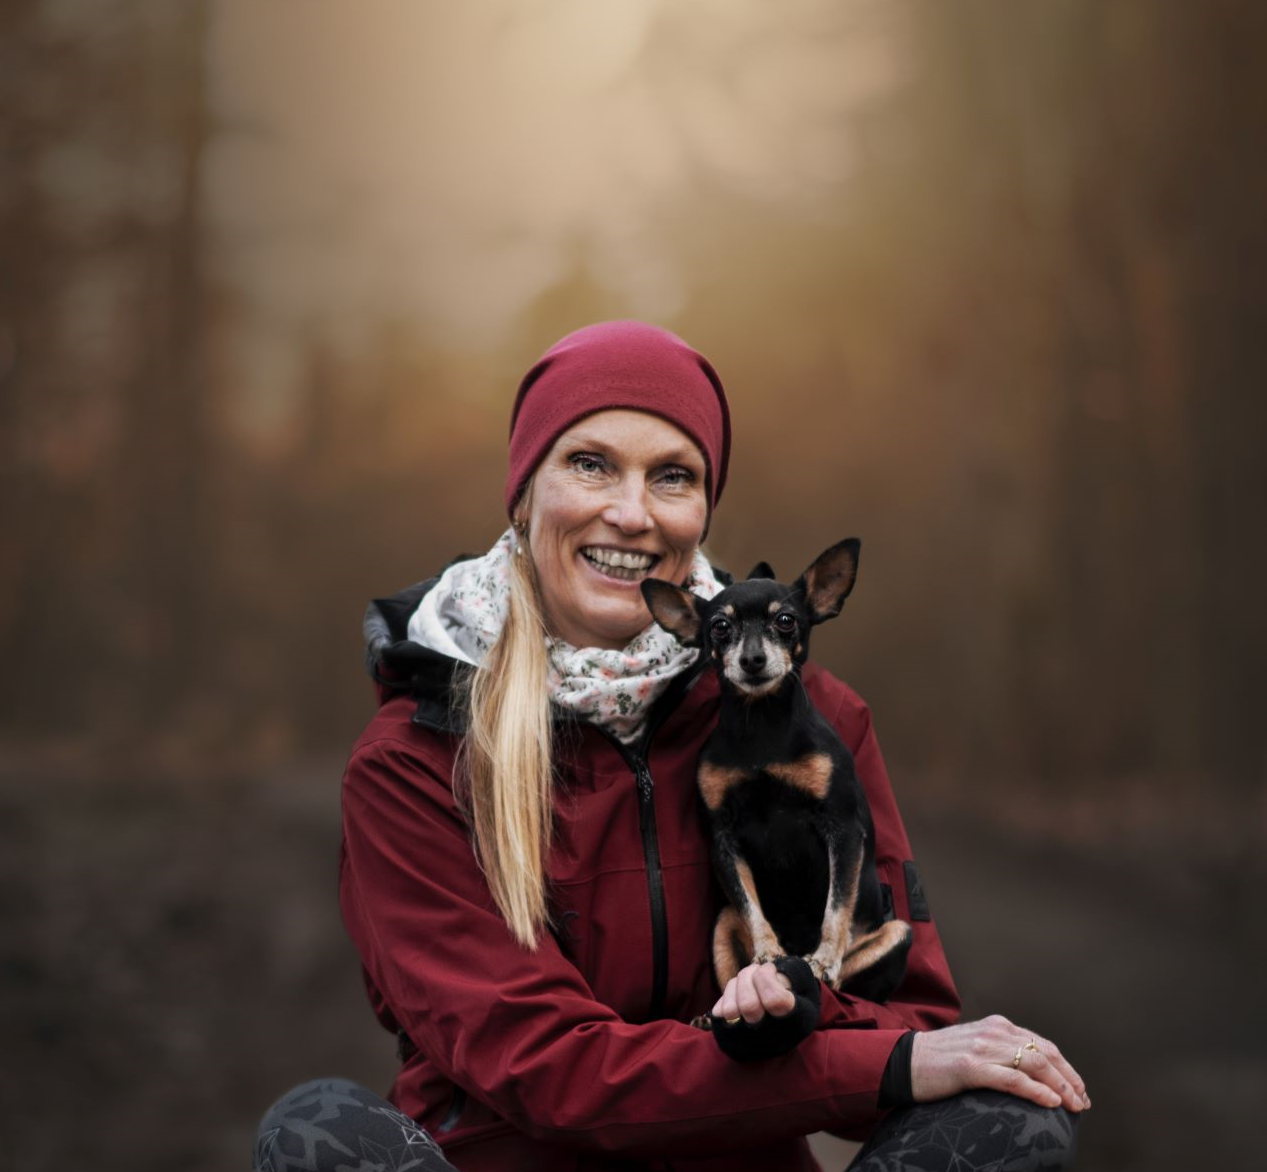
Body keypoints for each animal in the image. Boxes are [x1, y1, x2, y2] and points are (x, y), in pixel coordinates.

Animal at [643, 539, 912, 1008]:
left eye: (786, 621)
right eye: (719, 627)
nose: (752, 658)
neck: (762, 727)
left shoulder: (843, 829)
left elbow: (836, 907)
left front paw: (823, 960)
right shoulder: (723, 840)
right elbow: (752, 908)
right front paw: (768, 953)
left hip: (897, 933)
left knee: (852, 977)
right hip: (721, 923)